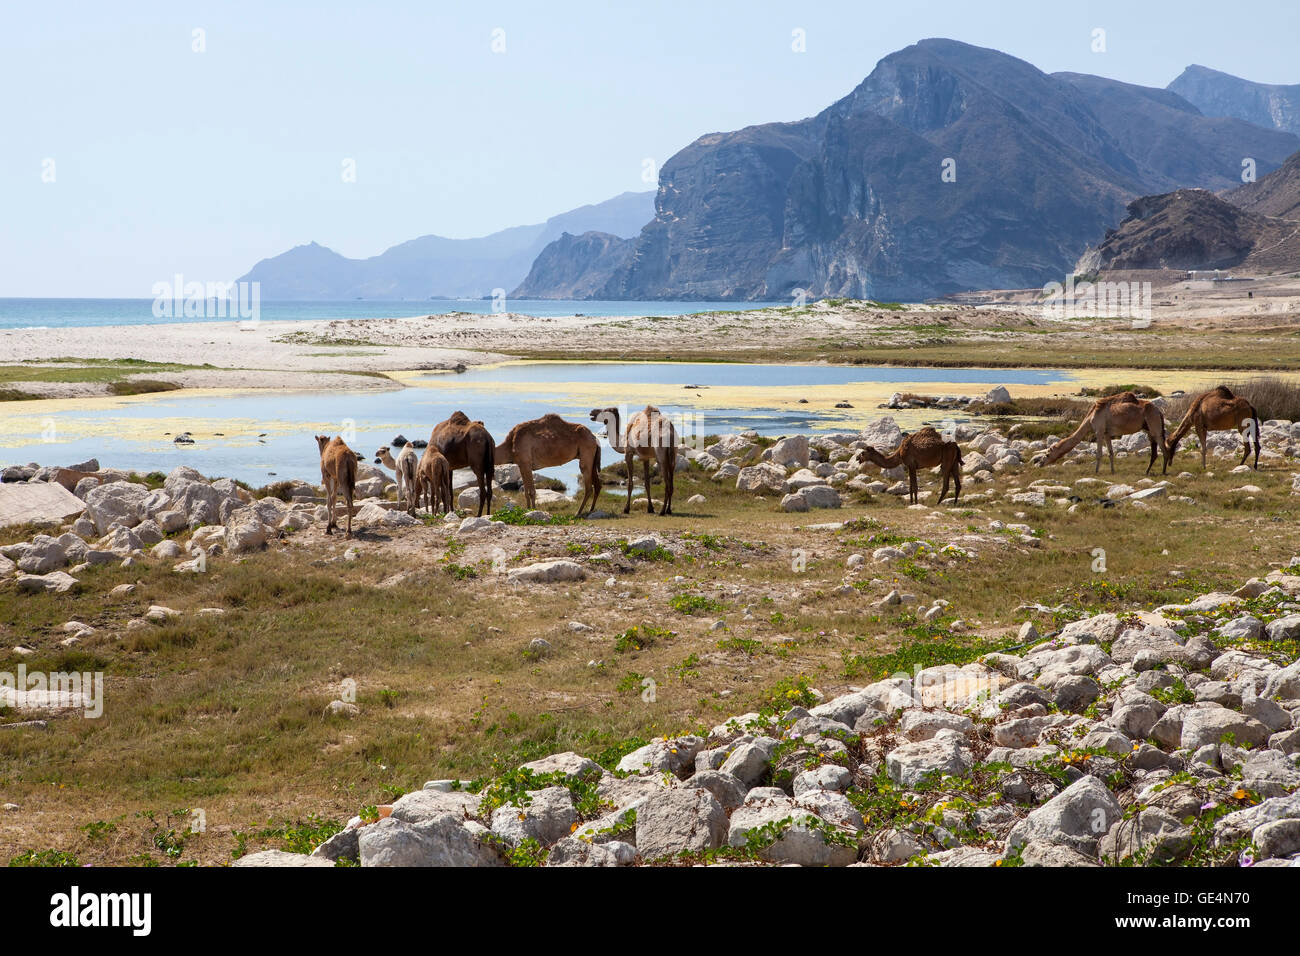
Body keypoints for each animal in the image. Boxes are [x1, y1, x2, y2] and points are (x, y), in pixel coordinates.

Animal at [1034, 392, 1170, 476]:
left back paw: (1163, 471)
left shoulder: (1099, 431)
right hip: (1148, 428)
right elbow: (1110, 452)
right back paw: (1147, 471)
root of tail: (1159, 412)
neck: (1090, 418)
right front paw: (1113, 471)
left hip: (1154, 425)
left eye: (1047, 454)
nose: (1040, 464)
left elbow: (1099, 453)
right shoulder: (1106, 433)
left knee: (1164, 448)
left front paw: (1096, 471)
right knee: (1155, 450)